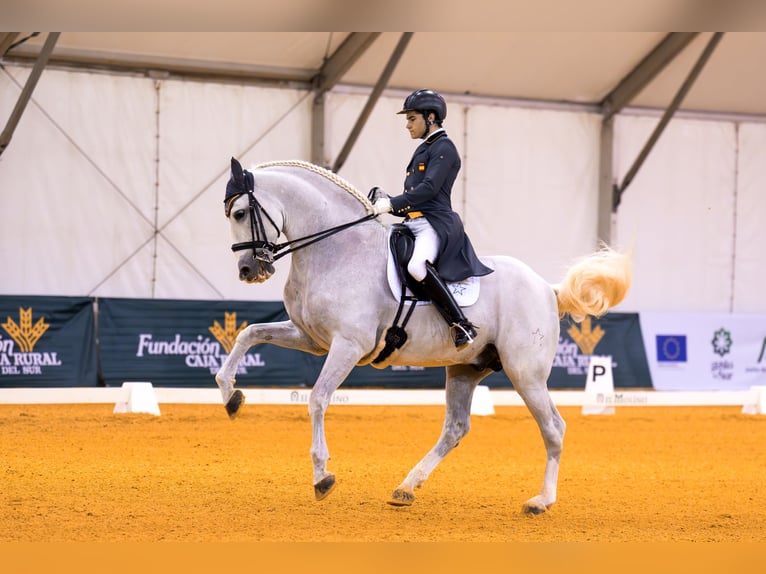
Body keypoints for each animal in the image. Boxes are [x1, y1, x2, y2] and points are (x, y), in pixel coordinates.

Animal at [216, 157, 631, 514]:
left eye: (240, 213)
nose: (248, 270)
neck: (336, 250)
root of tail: (547, 288)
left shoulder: (348, 345)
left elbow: (317, 399)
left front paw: (322, 477)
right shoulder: (311, 338)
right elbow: (249, 334)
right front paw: (231, 396)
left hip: (524, 373)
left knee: (553, 428)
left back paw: (540, 501)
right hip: (466, 368)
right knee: (456, 428)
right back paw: (406, 487)